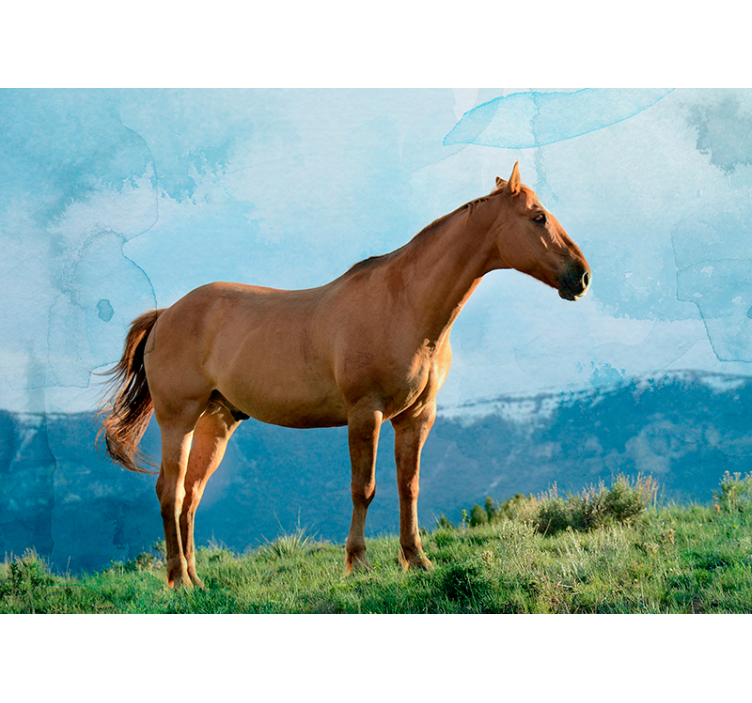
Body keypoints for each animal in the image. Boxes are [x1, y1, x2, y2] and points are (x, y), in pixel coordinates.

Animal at [99, 162, 591, 588]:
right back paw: (178, 580)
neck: (405, 304)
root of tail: (166, 314)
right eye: (538, 217)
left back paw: (196, 579)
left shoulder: (417, 417)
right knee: (170, 492)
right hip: (179, 419)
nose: (582, 277)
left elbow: (409, 487)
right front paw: (358, 563)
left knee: (191, 496)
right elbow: (364, 488)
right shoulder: (365, 413)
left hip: (215, 422)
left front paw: (416, 560)